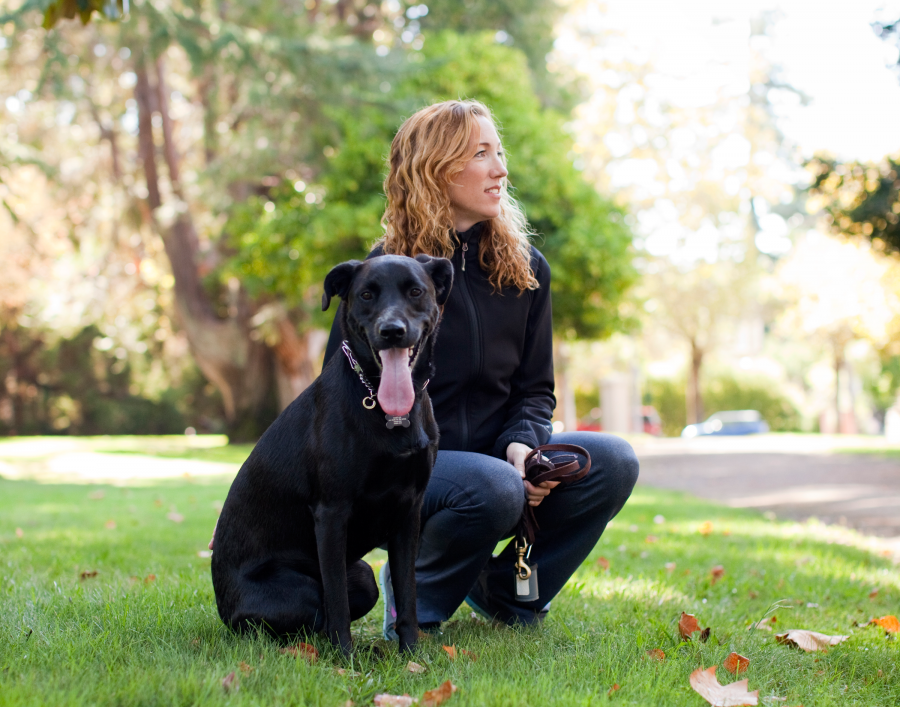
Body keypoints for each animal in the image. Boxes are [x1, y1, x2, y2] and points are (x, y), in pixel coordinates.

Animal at [211, 254, 453, 655]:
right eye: (367, 294)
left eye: (416, 291)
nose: (392, 331)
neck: (387, 412)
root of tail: (222, 608)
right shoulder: (332, 512)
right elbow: (336, 598)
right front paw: (344, 657)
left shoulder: (409, 511)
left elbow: (408, 594)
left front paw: (411, 654)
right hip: (298, 591)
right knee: (302, 618)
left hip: (363, 576)